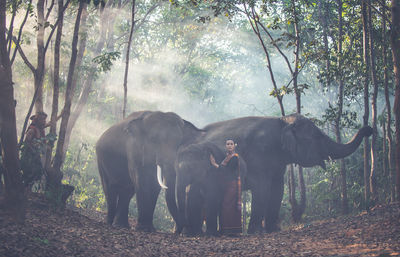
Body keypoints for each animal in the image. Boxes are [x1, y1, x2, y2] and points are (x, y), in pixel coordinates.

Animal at [187, 113, 372, 233]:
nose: (369, 128)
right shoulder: (260, 154)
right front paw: (256, 232)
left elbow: (278, 189)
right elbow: (262, 188)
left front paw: (273, 230)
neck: (283, 121)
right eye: (317, 137)